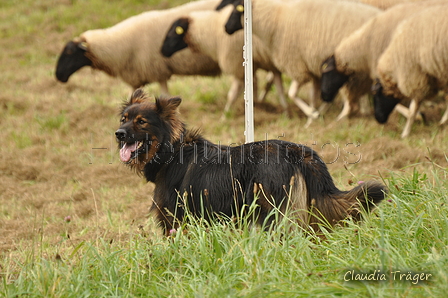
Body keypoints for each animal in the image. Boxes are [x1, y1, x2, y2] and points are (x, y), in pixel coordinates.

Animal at [115, 89, 384, 235]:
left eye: (141, 122)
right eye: (123, 119)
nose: (118, 134)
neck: (172, 151)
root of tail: (297, 150)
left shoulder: (176, 222)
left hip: (272, 213)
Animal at [220, 0, 378, 125]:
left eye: (236, 9)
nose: (226, 28)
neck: (275, 21)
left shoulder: (297, 67)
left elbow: (292, 93)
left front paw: (312, 114)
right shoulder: (312, 70)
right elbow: (313, 96)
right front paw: (311, 118)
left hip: (349, 70)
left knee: (351, 104)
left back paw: (337, 121)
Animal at [372, 4, 448, 137]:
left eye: (376, 95)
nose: (378, 119)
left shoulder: (416, 78)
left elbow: (413, 109)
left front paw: (405, 133)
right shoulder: (438, 75)